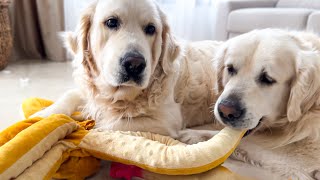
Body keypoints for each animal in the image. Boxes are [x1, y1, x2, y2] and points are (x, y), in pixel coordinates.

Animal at [31, 0, 222, 144]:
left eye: (151, 28)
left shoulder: (167, 121)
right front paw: (42, 115)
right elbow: (69, 95)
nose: (135, 65)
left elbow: (111, 124)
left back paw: (193, 135)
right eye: (111, 22)